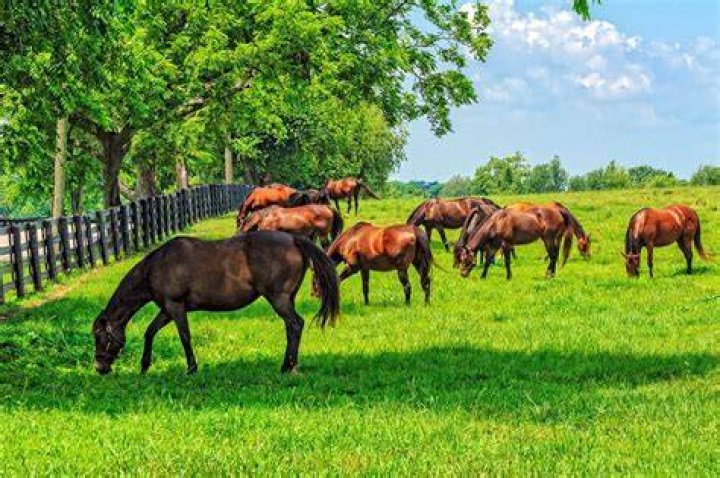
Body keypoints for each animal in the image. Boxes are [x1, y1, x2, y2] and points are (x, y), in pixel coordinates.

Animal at [92, 231, 340, 376]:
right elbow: (150, 332)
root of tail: (293, 239)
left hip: (278, 299)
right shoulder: (167, 309)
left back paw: (287, 367)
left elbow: (184, 337)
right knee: (292, 327)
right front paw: (144, 366)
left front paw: (191, 369)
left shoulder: (175, 307)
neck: (157, 266)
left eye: (99, 335)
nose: (99, 367)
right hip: (286, 299)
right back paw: (289, 365)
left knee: (295, 324)